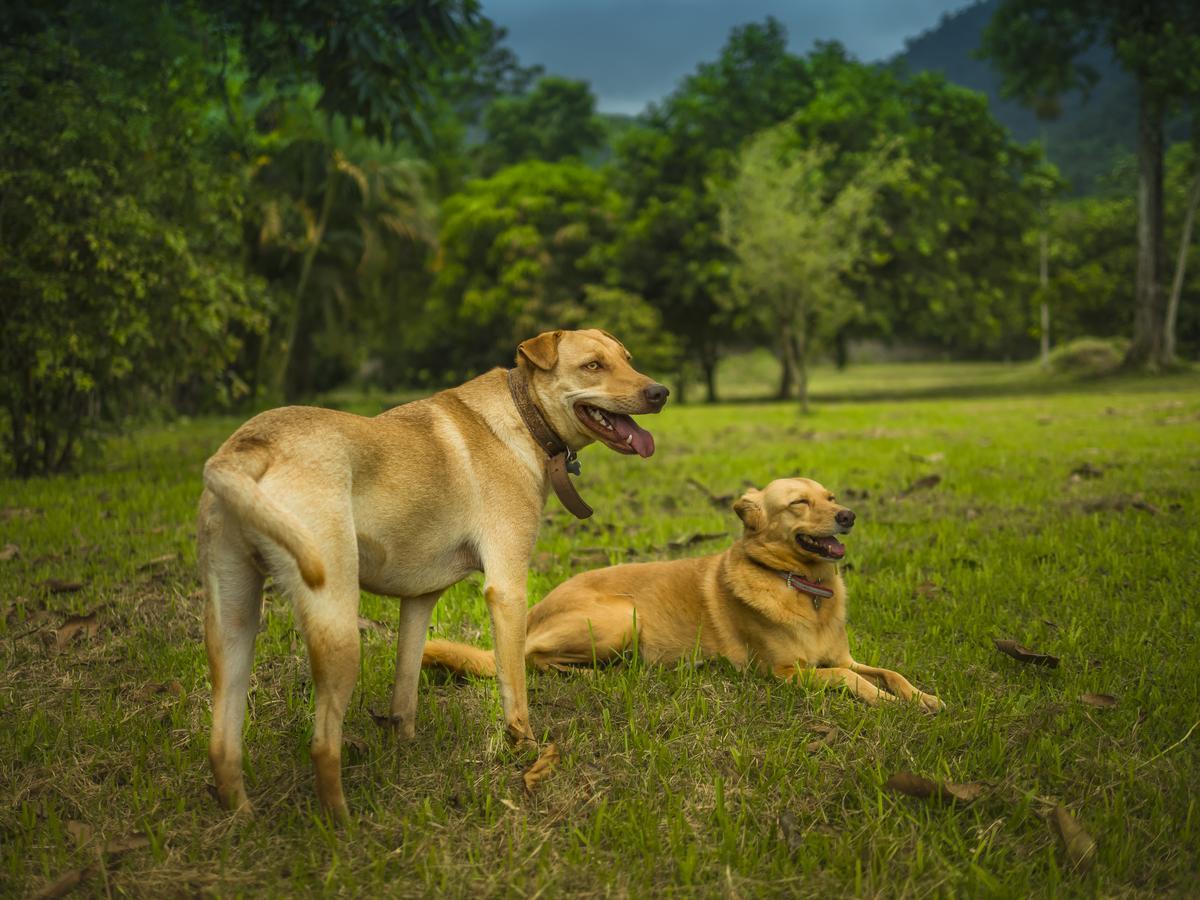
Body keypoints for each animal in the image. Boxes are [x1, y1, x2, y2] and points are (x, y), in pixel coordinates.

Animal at [196, 328, 667, 820]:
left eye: (626, 359)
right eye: (593, 366)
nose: (660, 392)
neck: (524, 415)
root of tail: (246, 447)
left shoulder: (419, 600)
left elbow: (406, 686)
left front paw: (403, 744)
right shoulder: (507, 589)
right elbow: (514, 686)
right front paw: (526, 749)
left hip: (232, 627)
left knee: (222, 747)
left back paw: (244, 818)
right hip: (338, 627)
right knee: (323, 745)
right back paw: (342, 826)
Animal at [427, 475, 940, 715]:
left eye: (831, 498)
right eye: (799, 503)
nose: (849, 515)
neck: (801, 585)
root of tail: (535, 610)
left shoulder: (843, 656)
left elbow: (888, 672)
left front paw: (923, 697)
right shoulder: (784, 673)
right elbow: (851, 680)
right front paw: (886, 703)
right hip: (623, 617)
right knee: (536, 659)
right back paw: (598, 675)